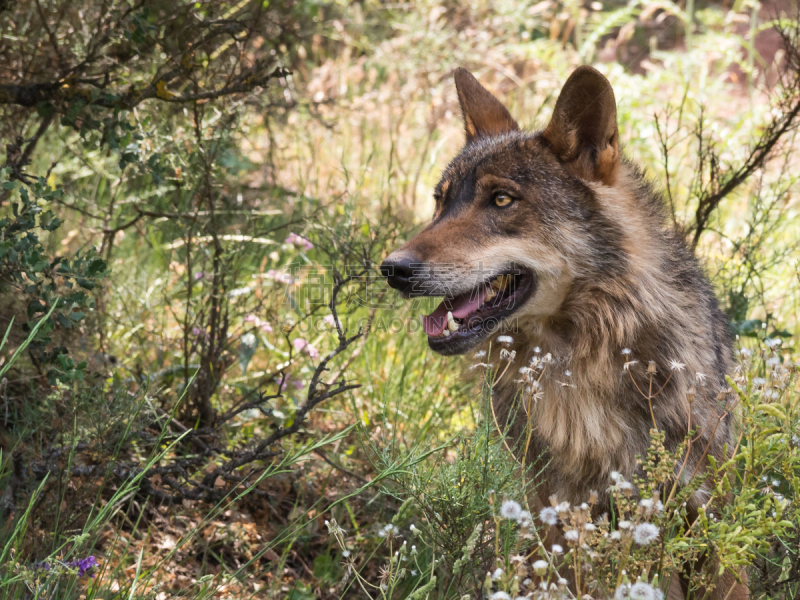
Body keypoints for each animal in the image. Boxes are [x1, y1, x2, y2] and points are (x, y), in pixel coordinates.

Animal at [378, 67, 748, 600]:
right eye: (440, 201)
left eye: (501, 199)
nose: (393, 269)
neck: (580, 369)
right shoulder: (557, 515)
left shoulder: (704, 513)